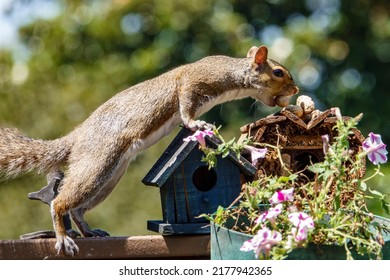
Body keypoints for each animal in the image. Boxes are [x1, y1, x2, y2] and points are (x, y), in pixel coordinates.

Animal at [0, 44, 298, 256]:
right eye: (278, 72)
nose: (295, 89)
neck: (234, 76)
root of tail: (76, 138)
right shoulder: (192, 82)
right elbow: (186, 108)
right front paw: (197, 123)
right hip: (98, 162)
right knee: (61, 202)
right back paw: (63, 236)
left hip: (110, 176)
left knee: (78, 209)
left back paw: (89, 231)